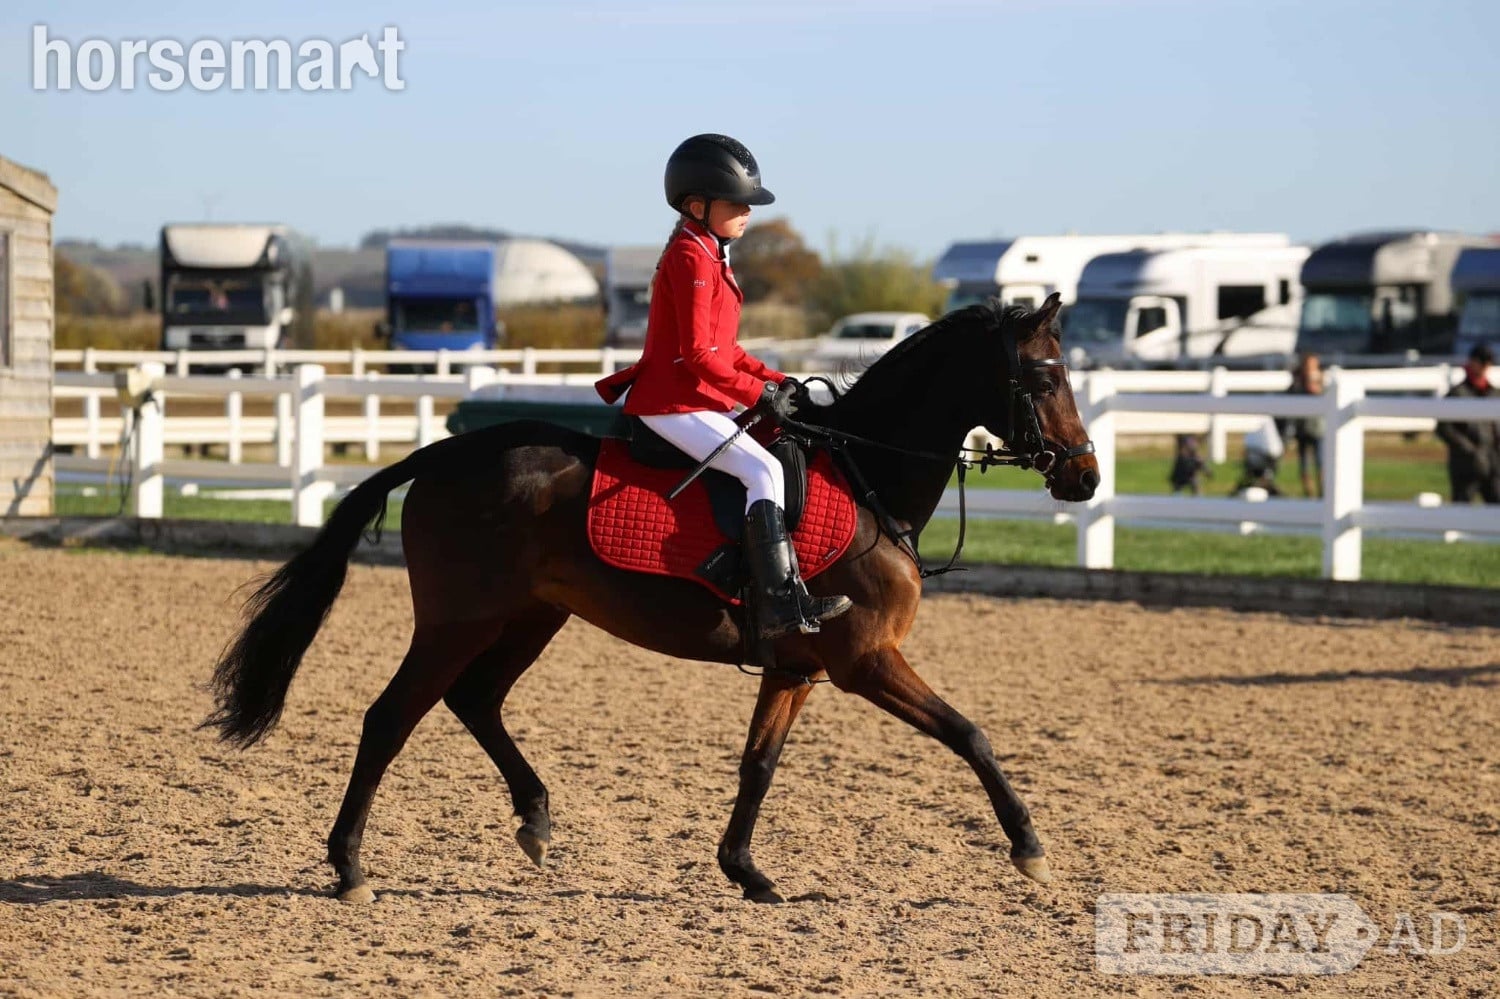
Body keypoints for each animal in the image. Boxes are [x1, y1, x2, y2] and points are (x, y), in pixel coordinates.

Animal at [203, 293, 1100, 904]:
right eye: (1044, 374)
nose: (1086, 477)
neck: (866, 474)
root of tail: (447, 452)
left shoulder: (799, 668)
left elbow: (758, 764)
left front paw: (745, 871)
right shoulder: (866, 660)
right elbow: (971, 733)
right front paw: (1029, 844)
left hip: (531, 615)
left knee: (475, 699)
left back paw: (534, 818)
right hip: (460, 620)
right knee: (392, 717)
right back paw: (350, 864)